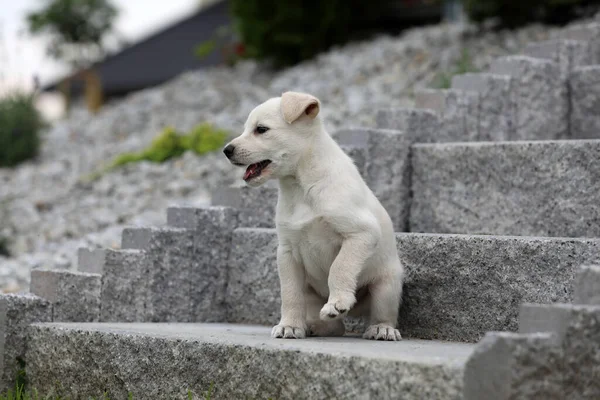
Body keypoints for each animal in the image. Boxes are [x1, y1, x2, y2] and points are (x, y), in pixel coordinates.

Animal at [223, 91, 406, 340]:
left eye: (261, 129)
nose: (226, 150)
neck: (302, 186)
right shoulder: (287, 252)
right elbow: (289, 293)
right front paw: (289, 326)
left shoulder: (362, 233)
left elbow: (340, 267)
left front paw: (337, 302)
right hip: (311, 291)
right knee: (335, 326)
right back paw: (314, 326)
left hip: (387, 284)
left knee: (382, 313)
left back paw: (381, 329)